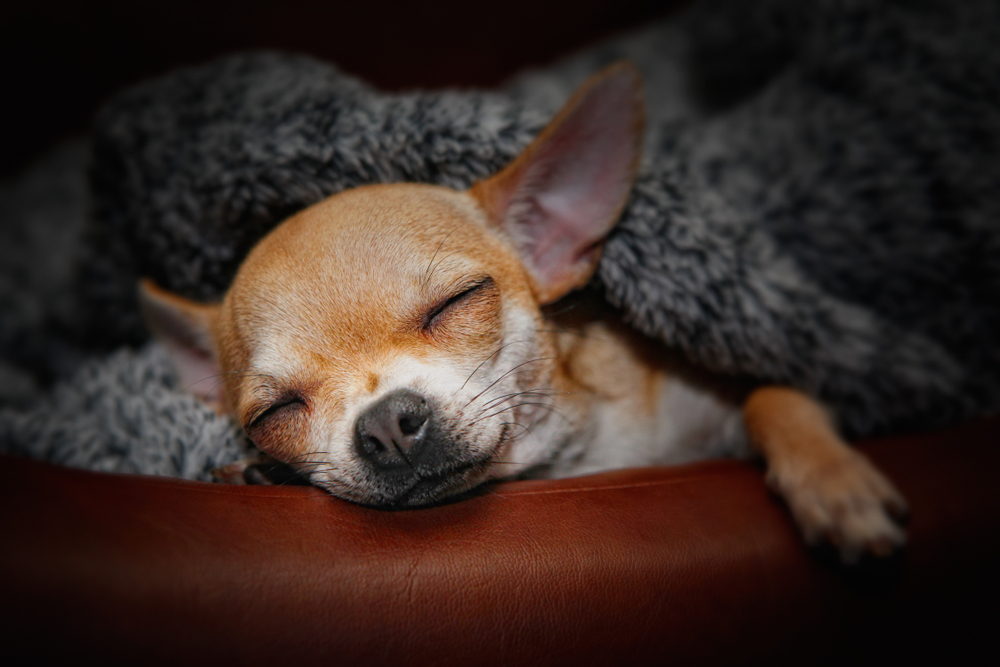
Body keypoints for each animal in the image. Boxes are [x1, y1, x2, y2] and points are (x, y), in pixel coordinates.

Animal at [143, 62, 916, 564]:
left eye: (456, 301)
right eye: (272, 415)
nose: (386, 425)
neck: (583, 456)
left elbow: (772, 393)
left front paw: (832, 479)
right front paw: (260, 473)